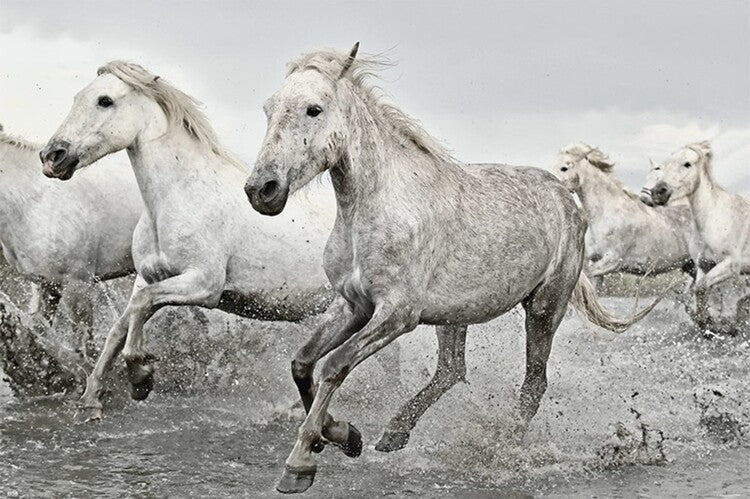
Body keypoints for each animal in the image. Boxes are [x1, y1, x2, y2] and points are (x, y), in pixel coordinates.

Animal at [39, 61, 342, 422]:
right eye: (77, 97)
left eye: (104, 101)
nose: (52, 156)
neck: (176, 196)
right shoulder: (148, 278)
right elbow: (120, 328)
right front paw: (91, 401)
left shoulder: (203, 284)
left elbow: (140, 310)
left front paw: (141, 377)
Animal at [245, 43, 659, 493]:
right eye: (268, 108)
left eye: (314, 109)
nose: (261, 190)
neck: (375, 208)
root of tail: (567, 199)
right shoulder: (352, 305)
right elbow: (302, 363)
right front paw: (344, 436)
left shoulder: (397, 314)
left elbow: (334, 366)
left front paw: (301, 462)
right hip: (454, 315)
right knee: (452, 371)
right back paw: (395, 433)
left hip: (544, 308)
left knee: (533, 383)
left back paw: (502, 449)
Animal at [641, 140, 750, 331]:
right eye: (665, 165)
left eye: (687, 164)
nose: (658, 192)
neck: (712, 219)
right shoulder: (703, 265)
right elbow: (700, 292)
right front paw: (706, 323)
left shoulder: (730, 265)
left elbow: (700, 288)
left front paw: (714, 325)